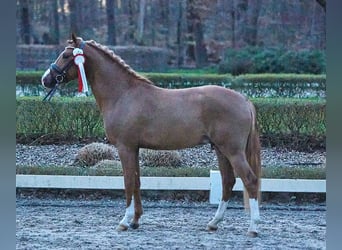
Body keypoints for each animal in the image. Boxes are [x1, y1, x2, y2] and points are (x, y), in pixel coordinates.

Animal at [42, 34, 262, 236]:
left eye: (65, 55)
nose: (45, 79)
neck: (123, 95)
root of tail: (243, 100)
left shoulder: (125, 147)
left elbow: (128, 182)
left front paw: (124, 221)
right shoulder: (134, 148)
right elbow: (137, 182)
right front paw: (136, 221)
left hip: (232, 151)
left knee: (249, 180)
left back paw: (253, 227)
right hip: (220, 150)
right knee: (228, 182)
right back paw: (214, 223)